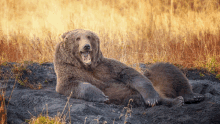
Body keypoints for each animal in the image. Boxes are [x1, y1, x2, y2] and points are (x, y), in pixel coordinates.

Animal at [54, 28, 183, 106]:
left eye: (89, 36)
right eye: (77, 38)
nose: (86, 46)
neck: (87, 66)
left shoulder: (106, 67)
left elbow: (131, 73)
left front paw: (152, 99)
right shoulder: (68, 69)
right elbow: (71, 85)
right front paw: (101, 96)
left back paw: (178, 100)